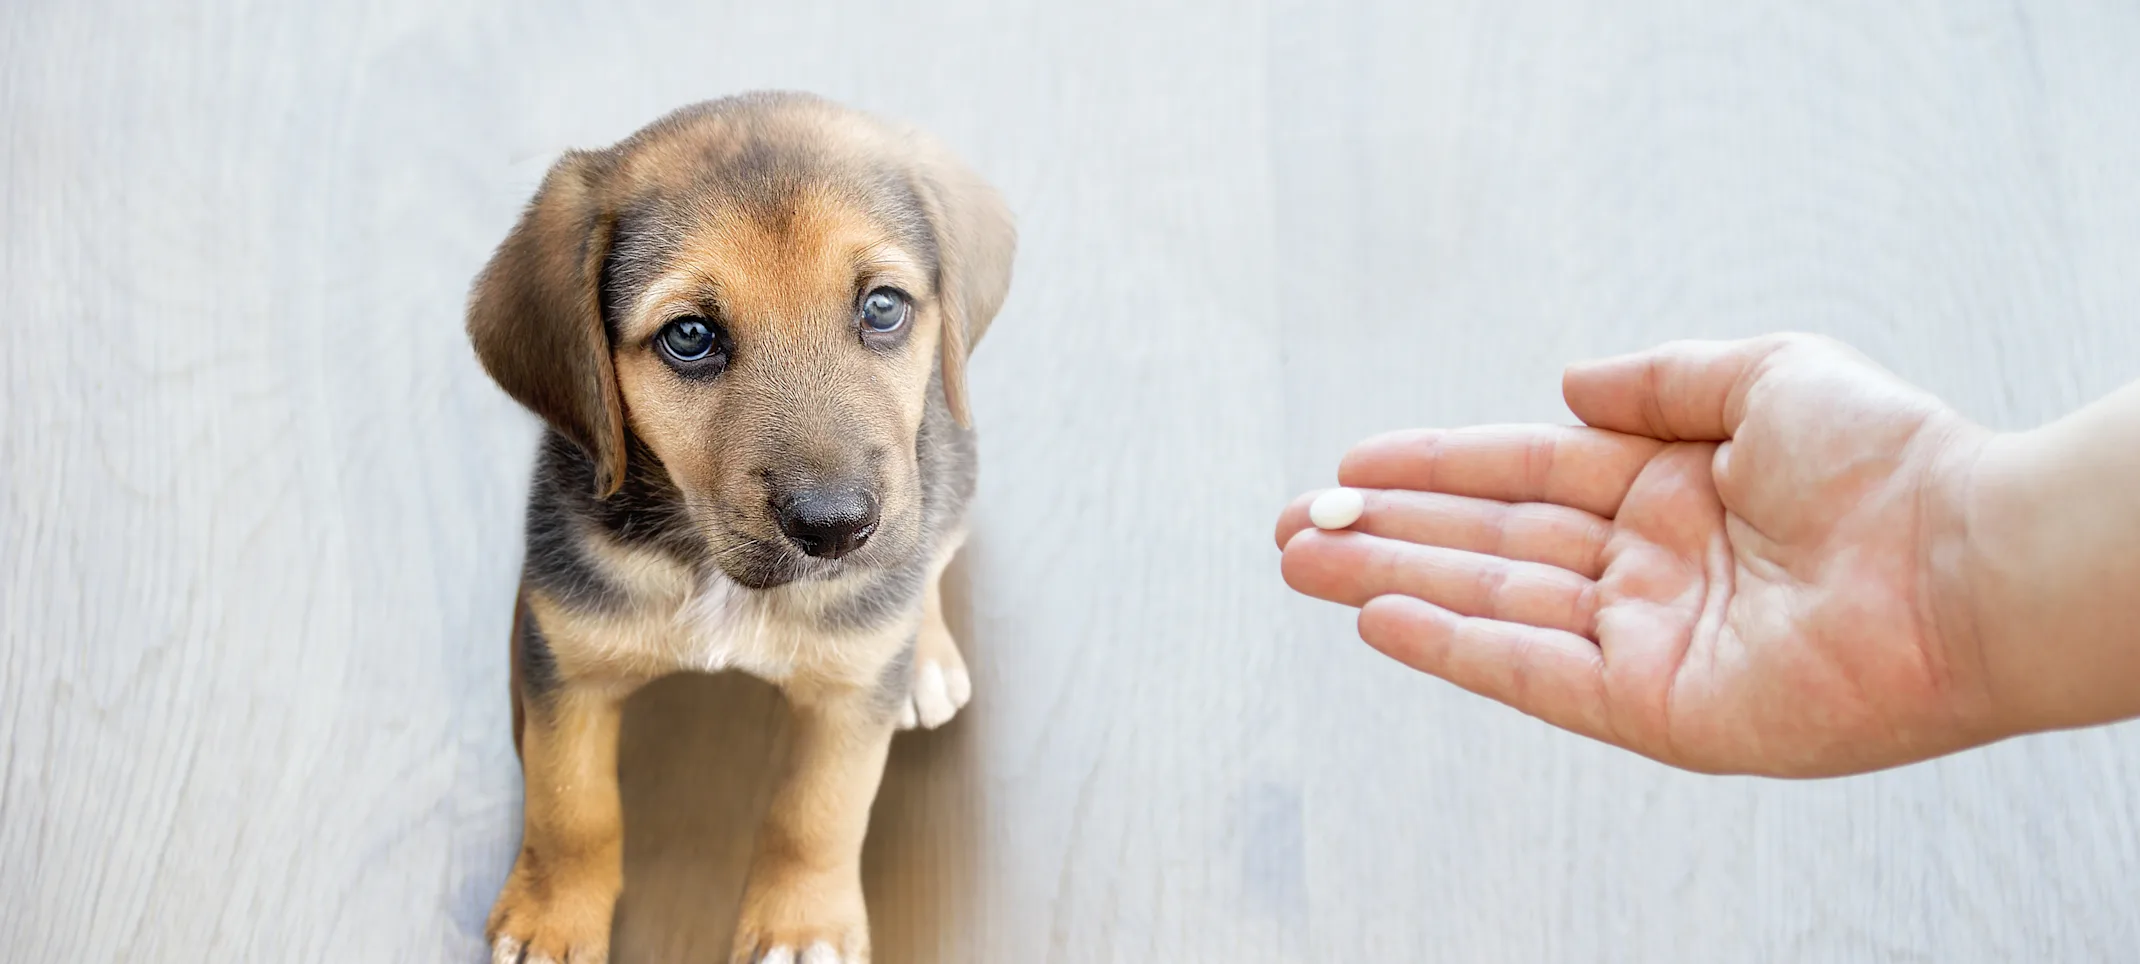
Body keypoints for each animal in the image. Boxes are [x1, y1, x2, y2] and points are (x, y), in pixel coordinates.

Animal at [466, 94, 1010, 964]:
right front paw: (553, 919)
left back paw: (924, 656)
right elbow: (568, 804)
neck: (711, 568)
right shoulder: (564, 664)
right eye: (689, 336)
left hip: (950, 471)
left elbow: (818, 813)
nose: (837, 528)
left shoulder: (850, 699)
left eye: (883, 307)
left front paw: (802, 924)